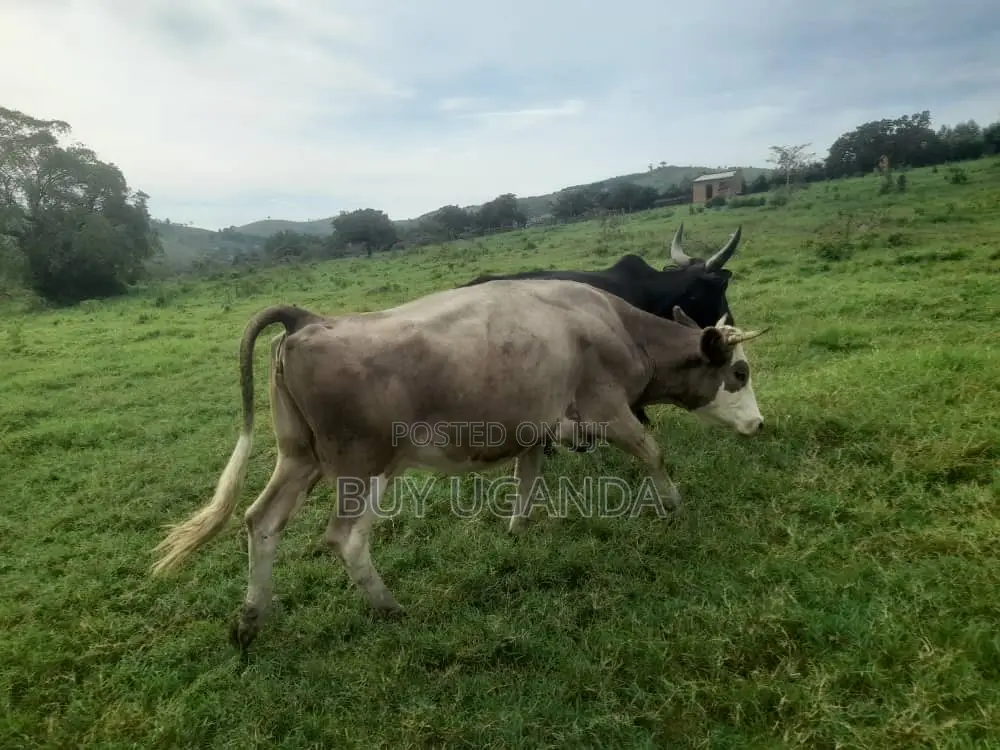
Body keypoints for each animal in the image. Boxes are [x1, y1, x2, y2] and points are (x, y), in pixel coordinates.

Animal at [150, 279, 769, 651]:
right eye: (738, 372)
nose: (759, 425)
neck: (613, 326)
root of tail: (308, 318)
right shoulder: (607, 409)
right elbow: (652, 452)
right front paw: (673, 506)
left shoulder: (536, 427)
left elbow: (527, 480)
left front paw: (517, 531)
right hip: (365, 465)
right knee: (345, 538)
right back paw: (388, 607)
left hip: (300, 458)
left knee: (262, 522)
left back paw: (250, 619)